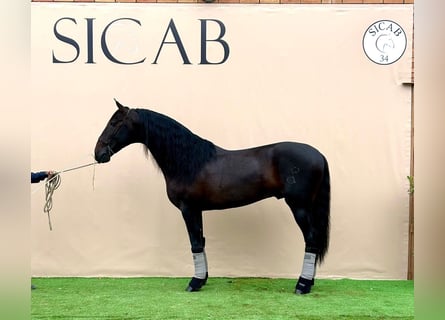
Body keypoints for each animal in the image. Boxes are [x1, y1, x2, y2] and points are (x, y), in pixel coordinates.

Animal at [94, 99, 330, 294]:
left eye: (114, 122)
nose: (98, 153)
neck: (188, 161)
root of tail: (319, 154)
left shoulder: (188, 209)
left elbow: (195, 243)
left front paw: (194, 282)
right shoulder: (197, 210)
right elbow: (201, 241)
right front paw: (203, 279)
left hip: (299, 206)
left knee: (311, 239)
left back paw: (302, 285)